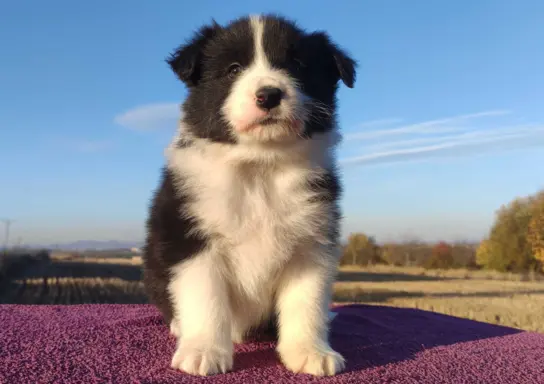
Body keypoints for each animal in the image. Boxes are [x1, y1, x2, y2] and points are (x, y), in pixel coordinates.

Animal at [143, 13, 356, 376]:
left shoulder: (310, 242)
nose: (268, 94)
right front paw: (203, 350)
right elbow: (205, 297)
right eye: (232, 69)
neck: (259, 168)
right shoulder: (191, 239)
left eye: (296, 65)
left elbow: (306, 301)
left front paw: (309, 351)